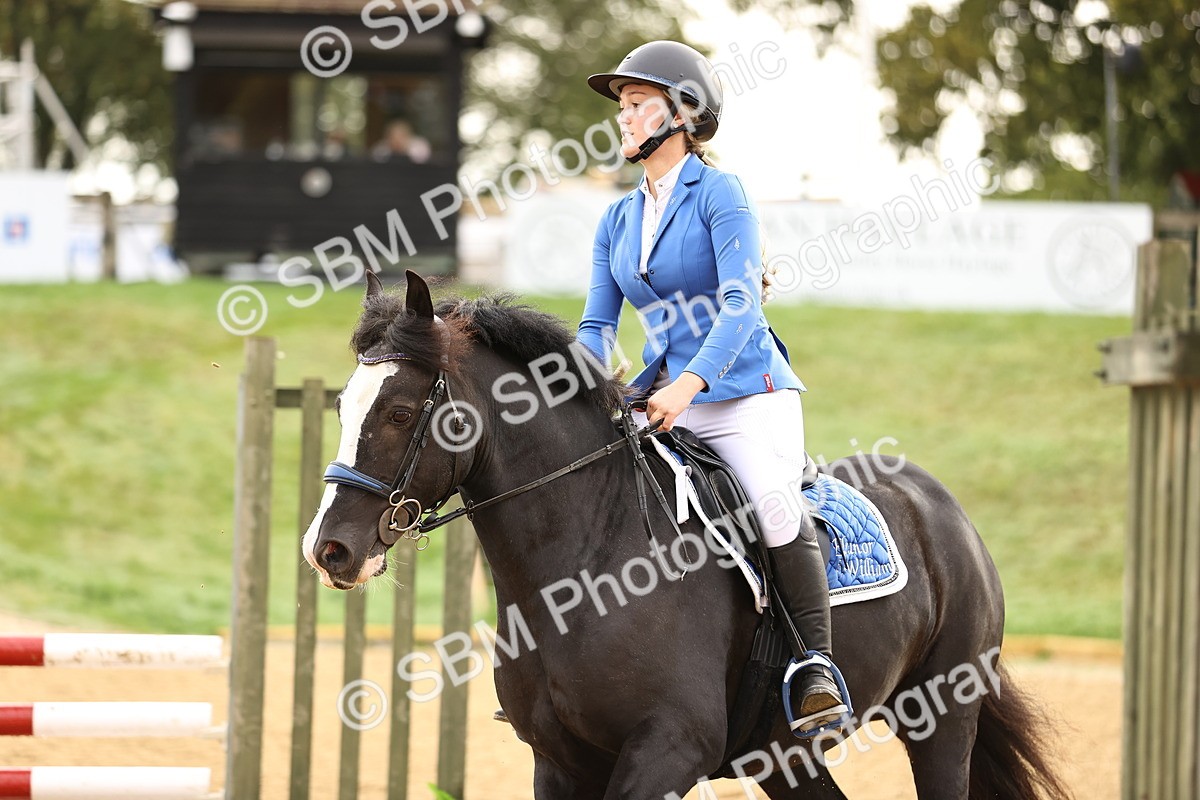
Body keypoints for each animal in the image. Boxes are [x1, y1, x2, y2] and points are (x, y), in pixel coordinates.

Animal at [302, 270, 1070, 800]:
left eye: (401, 412)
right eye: (341, 406)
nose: (329, 549)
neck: (586, 562)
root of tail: (939, 504)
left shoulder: (669, 749)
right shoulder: (559, 762)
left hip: (943, 717)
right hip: (785, 756)